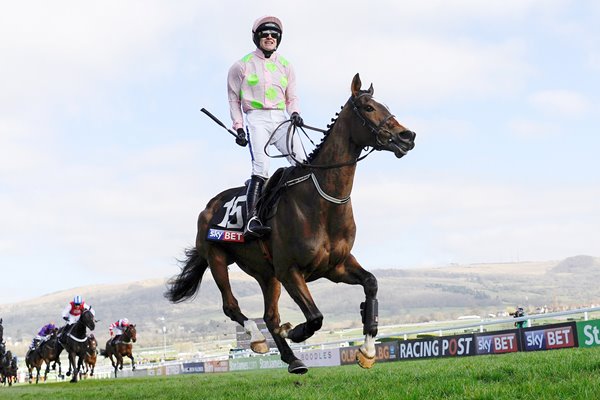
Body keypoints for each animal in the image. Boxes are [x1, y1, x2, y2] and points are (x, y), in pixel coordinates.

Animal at [165, 73, 418, 374]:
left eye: (384, 105)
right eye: (368, 108)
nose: (407, 136)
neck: (321, 203)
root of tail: (209, 206)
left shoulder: (335, 266)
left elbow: (371, 284)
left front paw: (367, 350)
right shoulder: (290, 271)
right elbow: (315, 317)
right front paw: (294, 331)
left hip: (266, 274)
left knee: (269, 315)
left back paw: (292, 359)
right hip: (217, 259)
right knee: (232, 306)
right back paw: (258, 338)